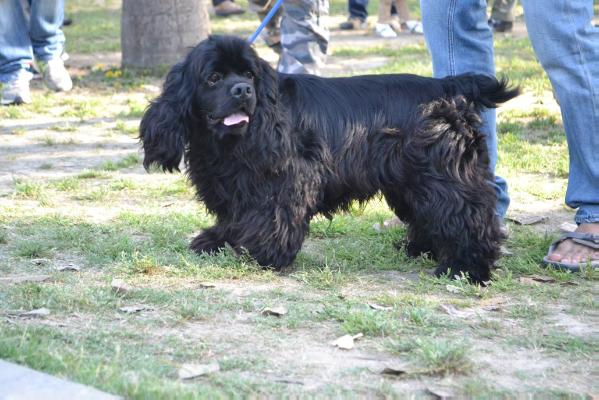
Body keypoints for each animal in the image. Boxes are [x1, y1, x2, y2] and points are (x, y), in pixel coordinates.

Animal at [138, 36, 516, 282]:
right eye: (213, 78)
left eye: (248, 76)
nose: (243, 91)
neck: (227, 142)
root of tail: (447, 87)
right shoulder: (233, 182)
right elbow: (235, 214)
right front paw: (217, 240)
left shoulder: (286, 177)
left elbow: (273, 214)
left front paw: (265, 254)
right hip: (409, 179)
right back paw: (421, 249)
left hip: (442, 174)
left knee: (469, 212)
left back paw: (466, 268)